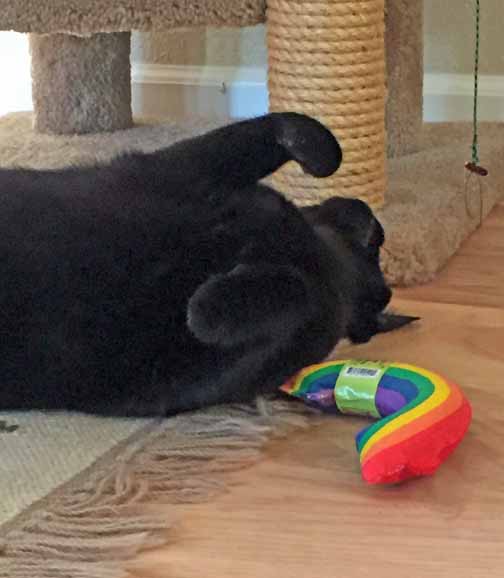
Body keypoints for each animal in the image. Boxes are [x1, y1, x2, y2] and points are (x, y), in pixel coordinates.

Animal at [0, 112, 416, 417]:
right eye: (374, 246)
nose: (367, 217)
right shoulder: (183, 169)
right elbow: (286, 129)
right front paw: (312, 150)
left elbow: (295, 292)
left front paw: (208, 306)